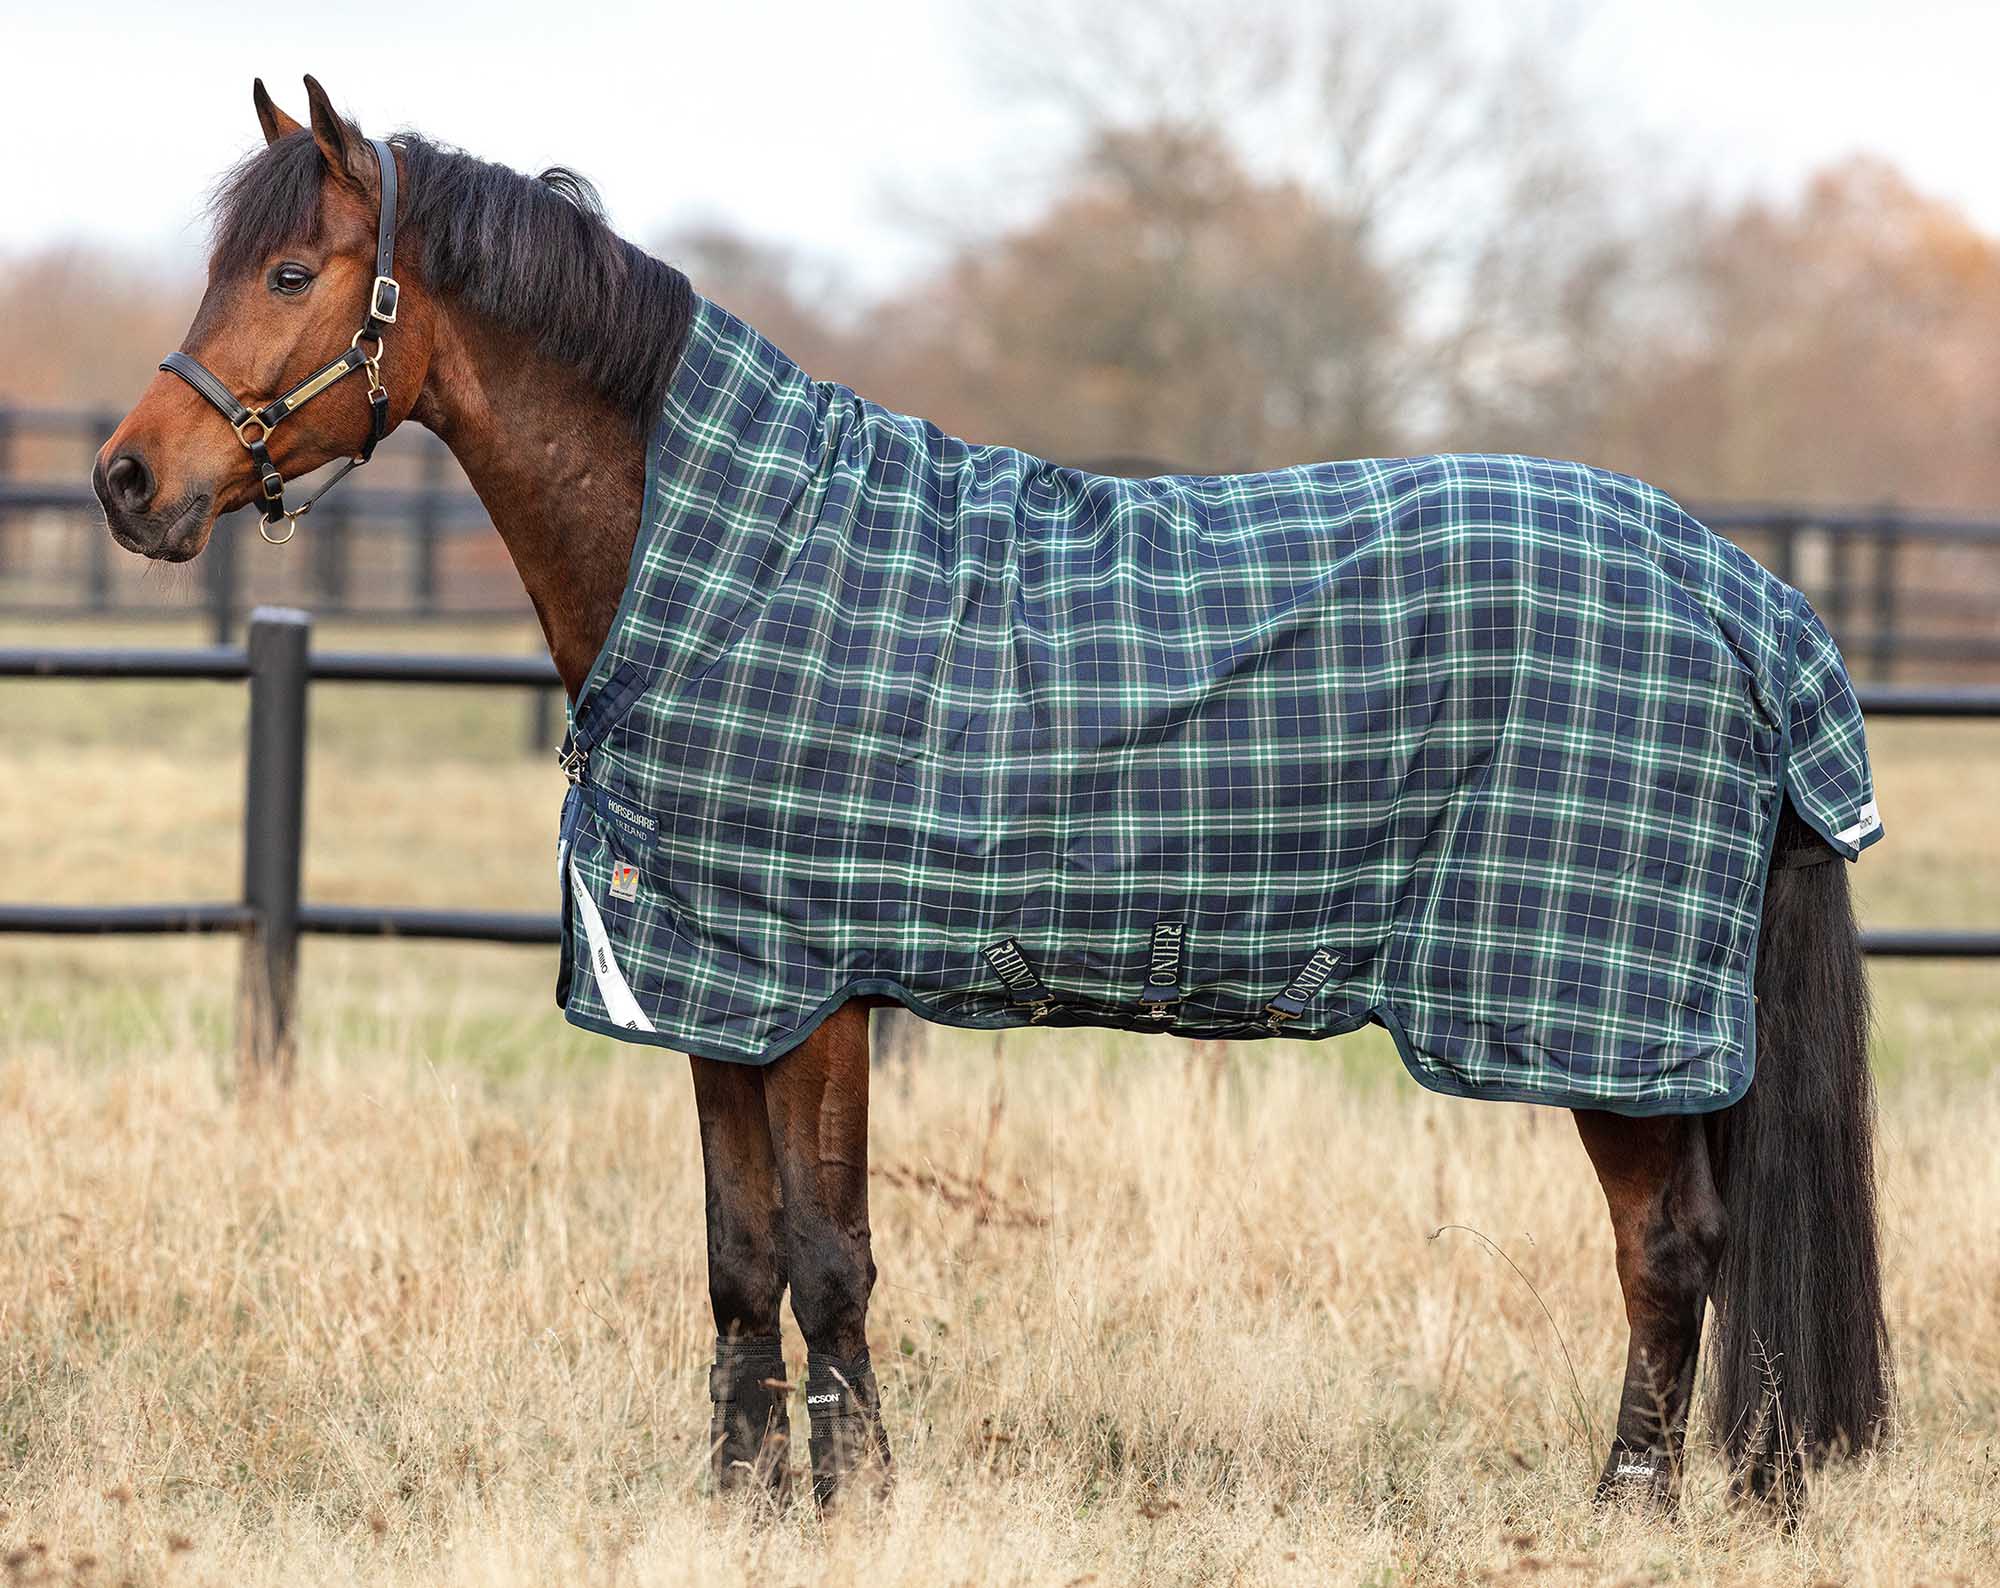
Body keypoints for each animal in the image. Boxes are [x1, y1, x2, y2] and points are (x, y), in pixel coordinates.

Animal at [93, 76, 1890, 1514]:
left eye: (292, 271)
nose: (127, 479)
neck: (732, 568)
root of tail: (1742, 596)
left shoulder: (817, 991)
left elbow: (830, 1257)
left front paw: (857, 1499)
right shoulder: (717, 990)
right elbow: (739, 1259)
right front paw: (744, 1502)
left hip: (1600, 1021)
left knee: (1672, 1249)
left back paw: (1628, 1503)